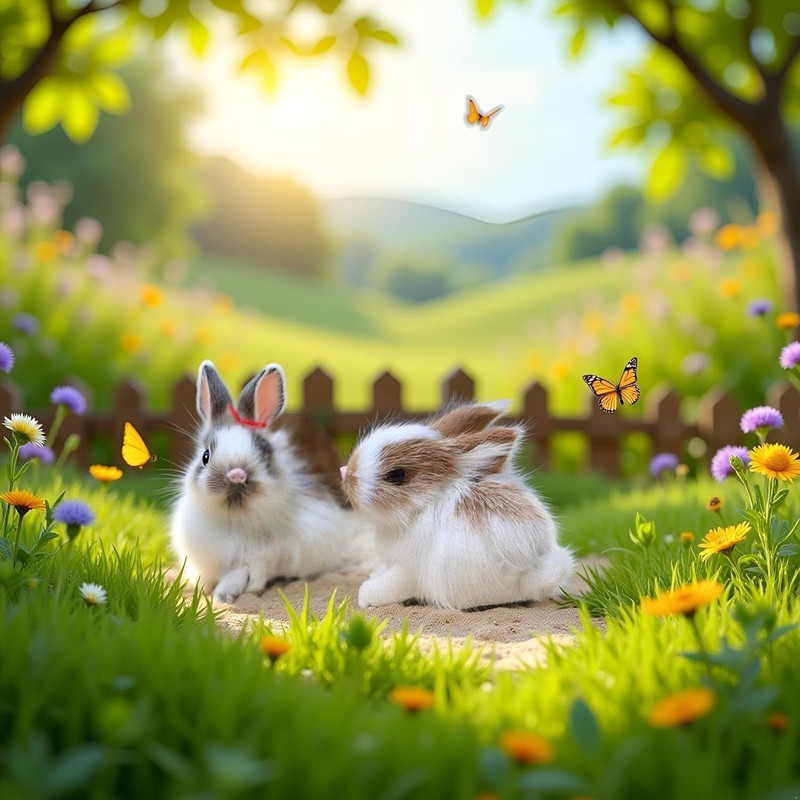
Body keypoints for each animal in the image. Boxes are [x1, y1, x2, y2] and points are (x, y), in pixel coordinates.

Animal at [170, 360, 373, 603]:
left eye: (265, 456)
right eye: (205, 456)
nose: (236, 474)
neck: (235, 520)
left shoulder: (260, 561)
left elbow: (239, 576)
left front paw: (222, 596)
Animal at [340, 401, 574, 610]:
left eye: (396, 475)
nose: (345, 473)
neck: (422, 507)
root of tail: (535, 569)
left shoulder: (406, 570)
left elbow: (384, 587)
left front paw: (364, 598)